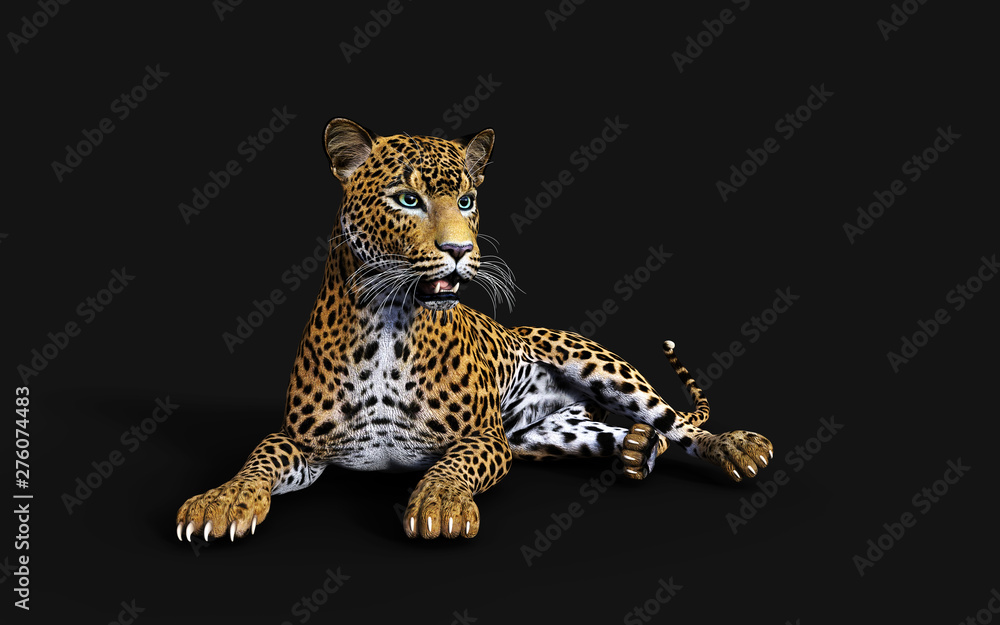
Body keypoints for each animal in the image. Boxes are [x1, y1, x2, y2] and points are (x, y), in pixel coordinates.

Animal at [175, 118, 773, 541]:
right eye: (407, 199)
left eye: (466, 200)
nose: (460, 250)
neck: (388, 324)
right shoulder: (301, 440)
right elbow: (257, 459)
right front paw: (220, 501)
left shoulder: (484, 436)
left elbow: (453, 465)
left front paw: (441, 505)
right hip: (545, 437)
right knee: (618, 434)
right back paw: (634, 450)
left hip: (602, 367)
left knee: (675, 421)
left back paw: (735, 446)